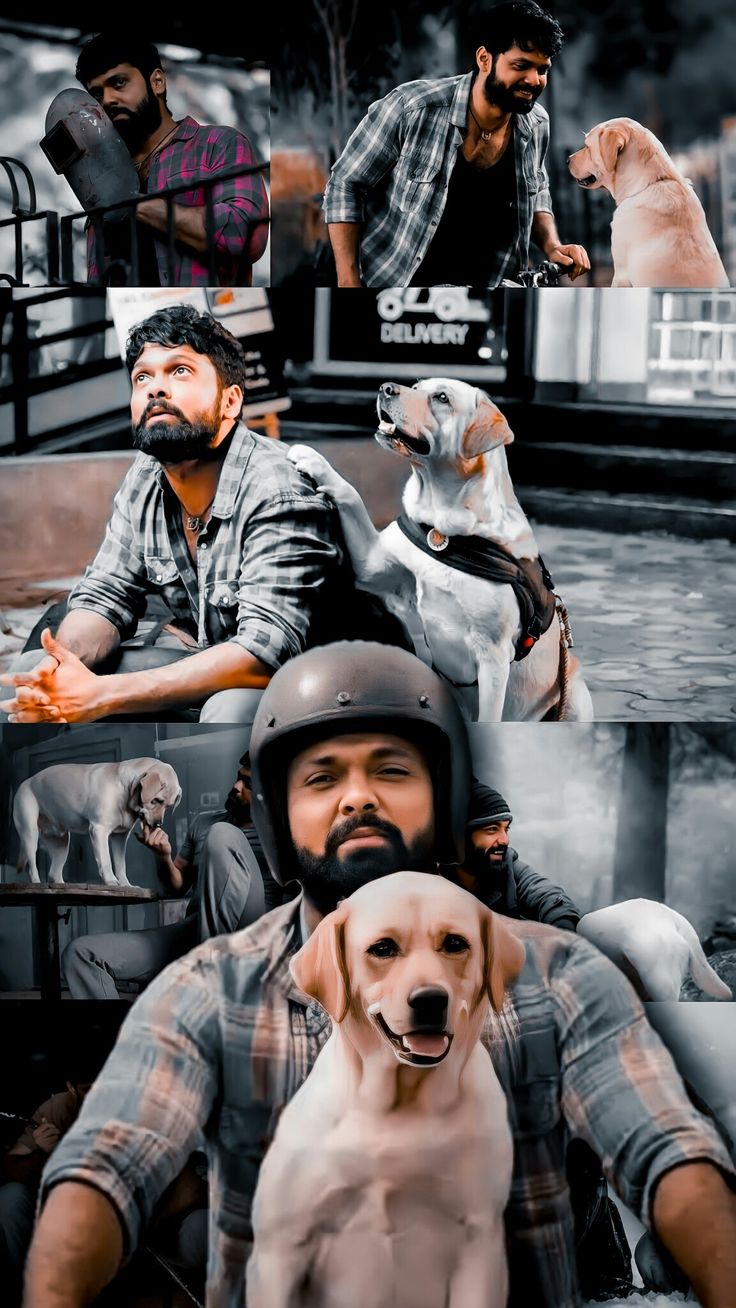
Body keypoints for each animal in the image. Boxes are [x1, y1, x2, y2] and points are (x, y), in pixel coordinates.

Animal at [12, 758, 181, 889]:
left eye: (169, 806)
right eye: (156, 800)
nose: (158, 824)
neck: (124, 789)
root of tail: (25, 782)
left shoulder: (120, 837)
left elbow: (121, 865)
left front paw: (126, 885)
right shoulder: (99, 830)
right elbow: (106, 861)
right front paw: (111, 881)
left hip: (62, 842)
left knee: (54, 873)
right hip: (30, 834)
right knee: (32, 866)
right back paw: (36, 883)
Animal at [250, 868, 528, 1308]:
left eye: (455, 943)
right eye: (382, 949)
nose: (430, 1000)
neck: (396, 1106)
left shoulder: (479, 1241)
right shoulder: (279, 1248)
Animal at [287, 379, 593, 727]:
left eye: (442, 398)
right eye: (416, 385)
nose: (386, 387)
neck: (445, 530)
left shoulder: (493, 656)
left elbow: (488, 717)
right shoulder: (373, 565)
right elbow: (351, 495)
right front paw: (313, 458)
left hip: (575, 696)